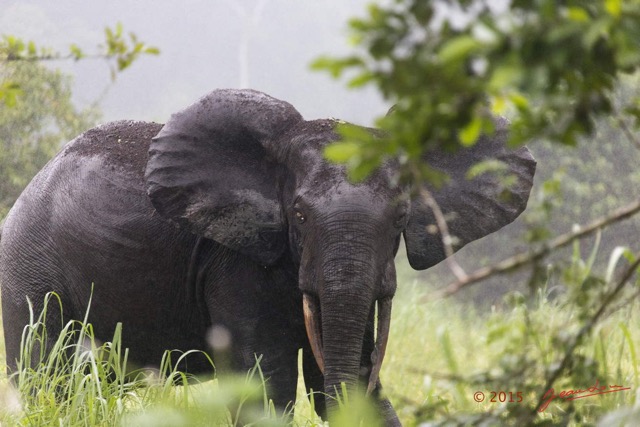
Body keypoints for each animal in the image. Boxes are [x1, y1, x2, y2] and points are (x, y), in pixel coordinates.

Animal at [0, 88, 536, 426]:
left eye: (401, 216)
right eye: (297, 215)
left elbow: (346, 384)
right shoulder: (233, 263)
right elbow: (266, 390)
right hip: (29, 273)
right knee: (47, 378)